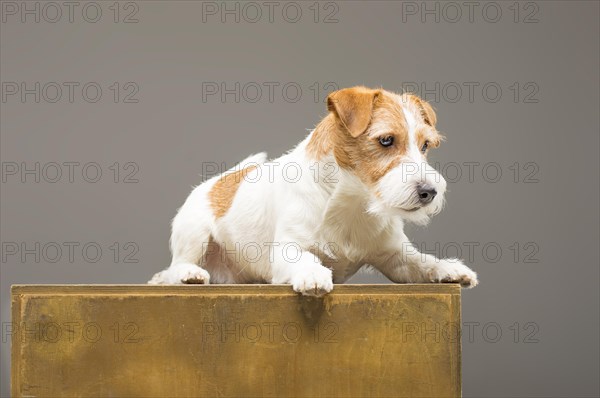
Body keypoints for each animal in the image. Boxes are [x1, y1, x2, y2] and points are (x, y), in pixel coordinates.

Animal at [149, 85, 478, 294]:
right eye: (386, 140)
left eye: (425, 146)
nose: (429, 191)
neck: (351, 202)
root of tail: (215, 182)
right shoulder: (287, 250)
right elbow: (305, 258)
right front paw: (312, 273)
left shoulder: (395, 257)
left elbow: (422, 262)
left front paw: (448, 268)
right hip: (194, 233)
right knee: (174, 267)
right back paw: (188, 274)